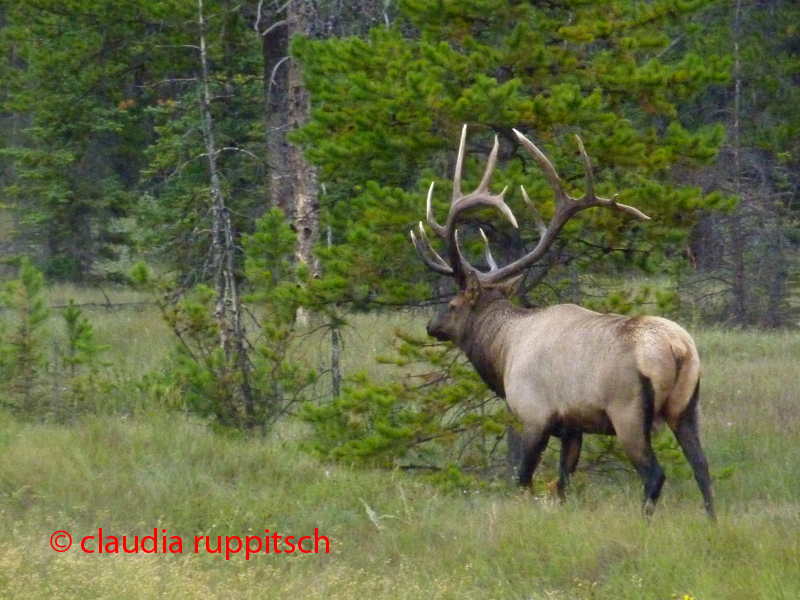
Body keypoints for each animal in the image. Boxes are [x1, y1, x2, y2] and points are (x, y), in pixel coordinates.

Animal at [410, 125, 716, 516]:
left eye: (450, 305)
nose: (430, 326)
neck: (504, 352)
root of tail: (678, 349)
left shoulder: (534, 414)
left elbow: (523, 480)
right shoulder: (573, 427)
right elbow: (562, 484)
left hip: (629, 411)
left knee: (654, 475)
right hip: (686, 407)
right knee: (703, 469)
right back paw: (712, 521)